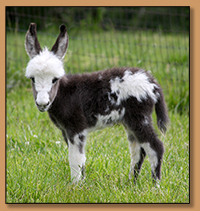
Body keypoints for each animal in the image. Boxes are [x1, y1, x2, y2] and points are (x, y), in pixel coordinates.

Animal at [25, 23, 169, 184]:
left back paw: (155, 185)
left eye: (54, 79)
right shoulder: (66, 131)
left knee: (155, 147)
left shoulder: (76, 128)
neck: (64, 94)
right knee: (138, 151)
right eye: (32, 79)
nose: (42, 103)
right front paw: (81, 182)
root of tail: (152, 82)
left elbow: (75, 159)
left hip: (140, 117)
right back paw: (131, 183)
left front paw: (75, 186)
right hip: (129, 121)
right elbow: (80, 159)